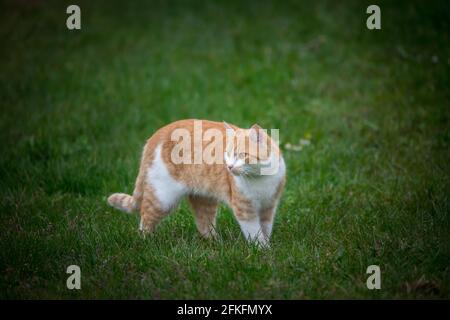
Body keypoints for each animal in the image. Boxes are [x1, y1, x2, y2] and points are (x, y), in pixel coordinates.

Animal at [106, 119, 284, 246]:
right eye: (227, 154)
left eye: (242, 155)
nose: (229, 166)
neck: (259, 179)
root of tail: (158, 133)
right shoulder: (245, 209)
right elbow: (254, 231)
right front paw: (260, 250)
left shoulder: (269, 206)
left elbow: (265, 228)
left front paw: (266, 247)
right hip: (162, 198)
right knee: (146, 216)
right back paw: (145, 241)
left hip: (205, 199)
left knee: (204, 223)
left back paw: (215, 243)